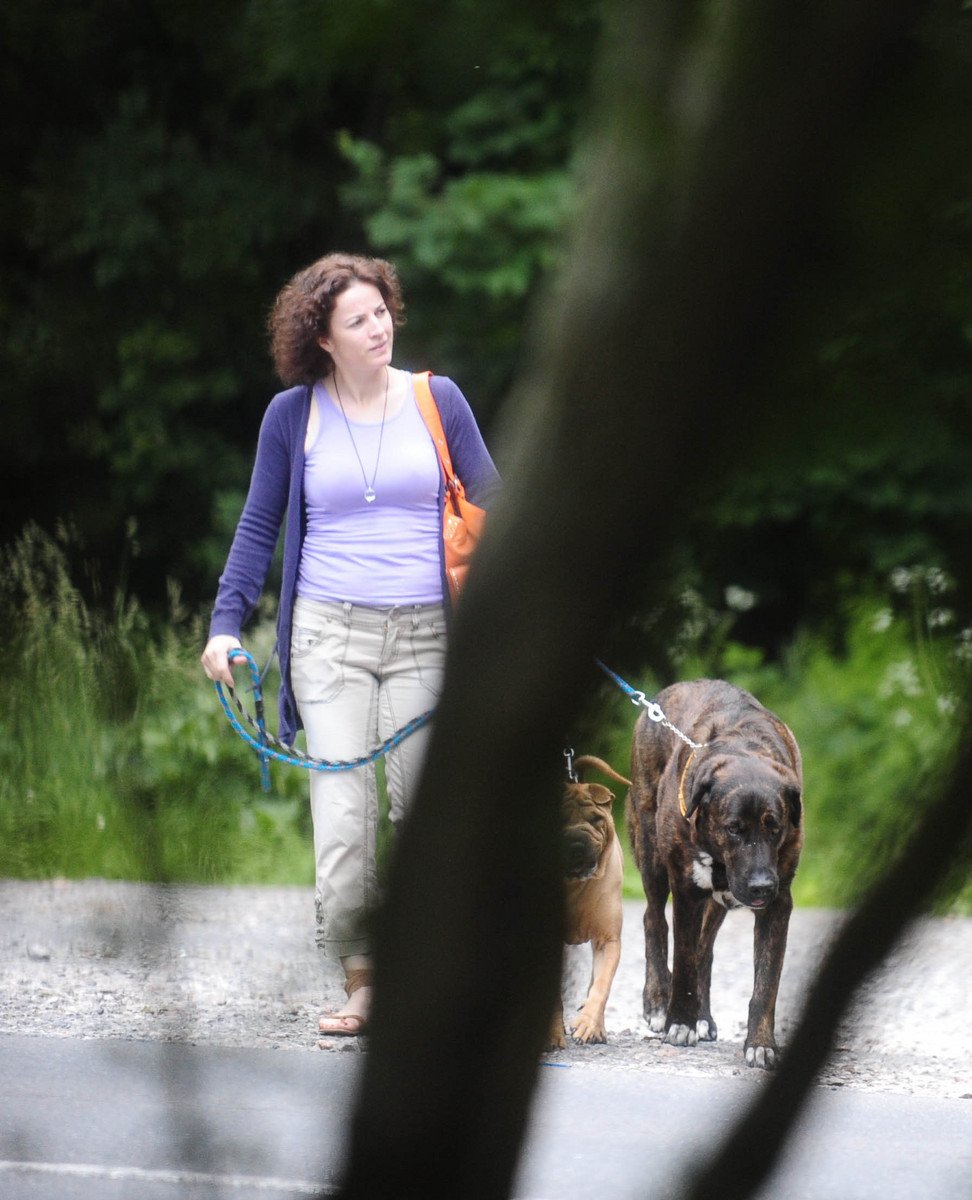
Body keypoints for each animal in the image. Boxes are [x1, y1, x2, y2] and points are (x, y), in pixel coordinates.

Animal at [549, 753, 624, 1046]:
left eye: (596, 820)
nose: (577, 844)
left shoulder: (607, 939)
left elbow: (601, 986)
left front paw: (587, 1023)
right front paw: (553, 1035)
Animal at [624, 681, 796, 1065]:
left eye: (774, 828)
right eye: (733, 828)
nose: (762, 886)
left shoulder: (778, 905)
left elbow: (767, 983)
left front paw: (760, 1043)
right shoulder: (686, 891)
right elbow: (684, 960)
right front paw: (679, 1023)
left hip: (718, 902)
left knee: (706, 949)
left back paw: (702, 1016)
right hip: (651, 851)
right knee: (653, 919)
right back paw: (658, 1001)